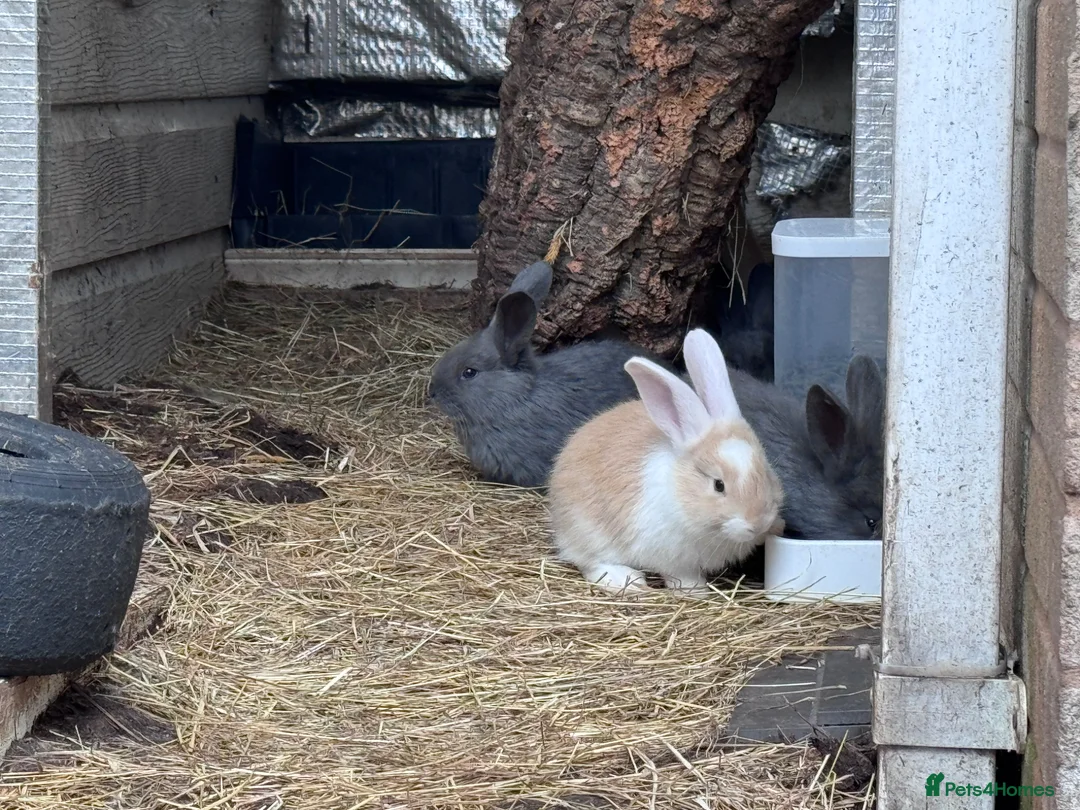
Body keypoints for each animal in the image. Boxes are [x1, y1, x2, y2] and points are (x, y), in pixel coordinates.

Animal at [548, 328, 785, 597]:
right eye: (718, 485)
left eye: (766, 471)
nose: (758, 522)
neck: (681, 489)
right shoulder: (672, 557)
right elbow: (680, 574)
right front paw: (695, 591)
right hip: (589, 531)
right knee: (590, 562)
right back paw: (627, 580)